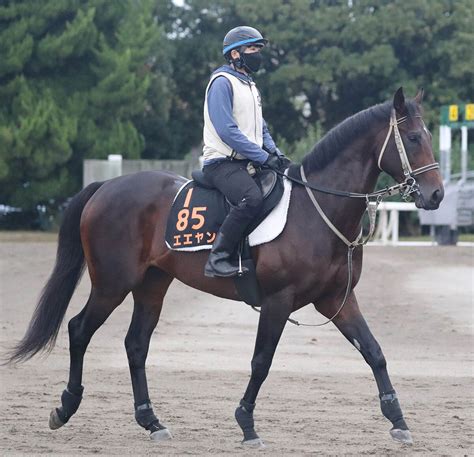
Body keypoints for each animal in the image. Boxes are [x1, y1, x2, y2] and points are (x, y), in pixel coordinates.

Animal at [8, 87, 444, 448]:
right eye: (413, 138)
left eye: (428, 135)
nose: (436, 195)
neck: (316, 208)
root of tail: (107, 187)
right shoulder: (278, 302)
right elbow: (261, 362)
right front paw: (247, 424)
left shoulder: (337, 299)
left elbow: (374, 352)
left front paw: (398, 420)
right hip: (112, 284)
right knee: (79, 329)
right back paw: (65, 407)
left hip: (152, 285)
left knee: (135, 344)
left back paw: (151, 421)